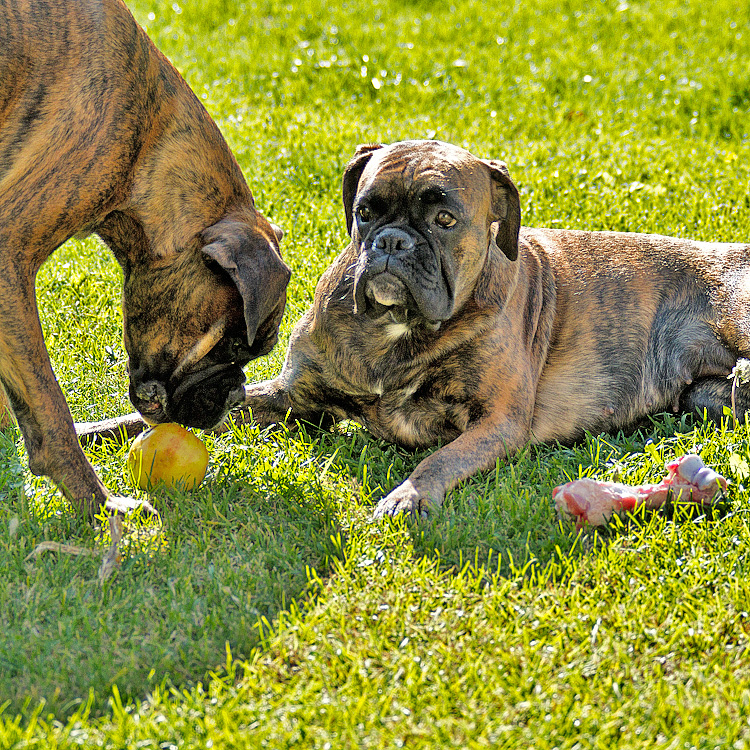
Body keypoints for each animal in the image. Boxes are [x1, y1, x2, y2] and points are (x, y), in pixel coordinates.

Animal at [0, 0, 290, 516]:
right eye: (235, 347)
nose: (237, 395)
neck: (150, 138)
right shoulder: (9, 254)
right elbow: (50, 412)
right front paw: (101, 509)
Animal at [239, 140, 750, 516]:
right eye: (365, 212)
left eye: (444, 219)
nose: (392, 241)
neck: (396, 329)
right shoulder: (294, 393)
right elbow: (237, 401)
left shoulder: (497, 421)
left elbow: (439, 459)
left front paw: (408, 496)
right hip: (705, 398)